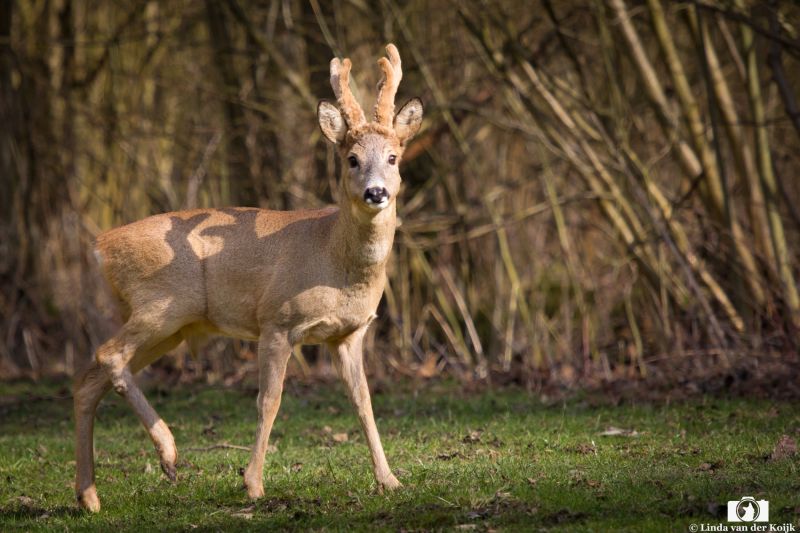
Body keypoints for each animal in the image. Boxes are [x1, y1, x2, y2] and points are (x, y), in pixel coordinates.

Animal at [73, 44, 423, 512]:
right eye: (351, 159)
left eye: (393, 157)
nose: (376, 192)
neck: (334, 259)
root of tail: (100, 246)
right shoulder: (276, 321)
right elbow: (268, 401)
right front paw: (253, 484)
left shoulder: (348, 334)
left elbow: (364, 402)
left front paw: (390, 481)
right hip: (161, 304)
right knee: (108, 356)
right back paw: (168, 453)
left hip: (172, 327)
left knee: (89, 380)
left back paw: (89, 496)